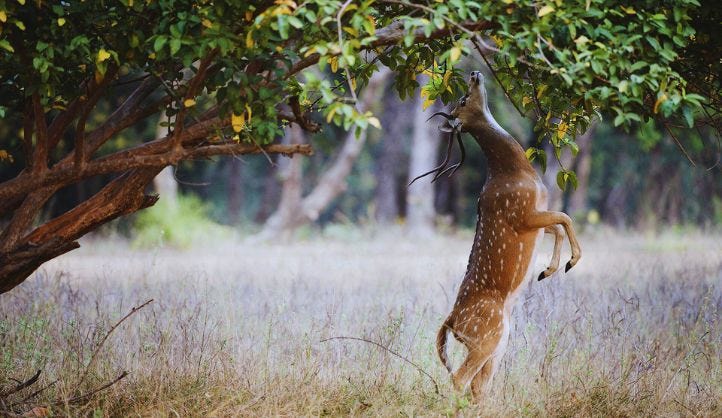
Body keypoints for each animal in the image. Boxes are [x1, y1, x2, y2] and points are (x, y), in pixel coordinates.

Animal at [424, 72, 584, 402]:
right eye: (463, 99)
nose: (474, 74)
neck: (515, 172)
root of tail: (452, 321)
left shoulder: (536, 215)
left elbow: (558, 225)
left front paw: (548, 270)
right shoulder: (521, 213)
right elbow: (565, 217)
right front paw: (569, 263)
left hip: (498, 342)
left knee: (478, 385)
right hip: (487, 335)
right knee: (459, 378)